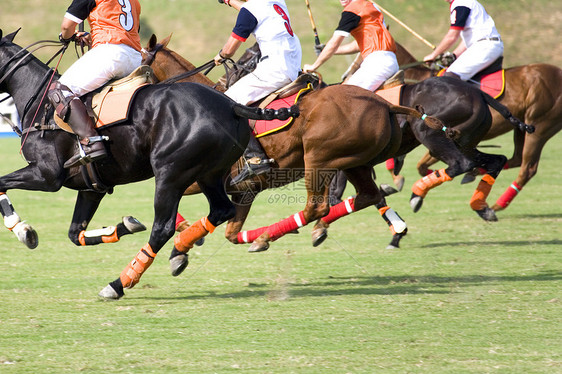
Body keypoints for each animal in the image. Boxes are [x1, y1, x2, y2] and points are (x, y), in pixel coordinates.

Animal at [0, 29, 296, 300]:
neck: (39, 103)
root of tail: (232, 106)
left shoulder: (47, 175)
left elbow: (1, 183)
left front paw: (22, 229)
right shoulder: (90, 187)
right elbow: (76, 233)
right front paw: (127, 224)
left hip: (170, 174)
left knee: (163, 227)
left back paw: (119, 283)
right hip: (209, 174)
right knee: (222, 210)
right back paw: (178, 250)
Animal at [394, 42, 560, 212]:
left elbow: (422, 165)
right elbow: (420, 165)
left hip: (540, 127)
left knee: (527, 169)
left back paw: (495, 203)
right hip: (520, 130)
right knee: (516, 159)